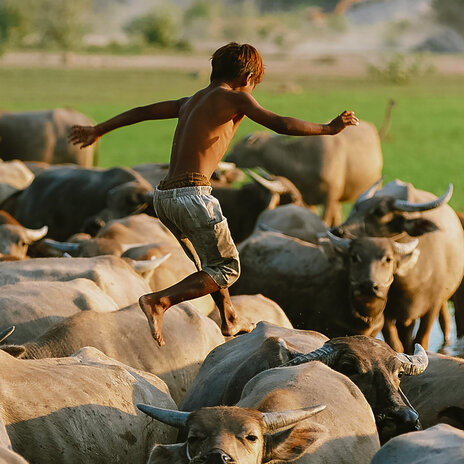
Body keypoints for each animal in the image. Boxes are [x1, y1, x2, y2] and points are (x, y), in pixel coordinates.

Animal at [224, 121, 380, 227]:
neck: (303, 159)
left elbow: (324, 221)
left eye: (247, 143)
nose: (228, 157)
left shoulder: (330, 196)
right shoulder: (306, 196)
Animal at [330, 180, 464, 352]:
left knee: (445, 323)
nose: (338, 231)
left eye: (379, 212)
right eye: (357, 208)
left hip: (443, 302)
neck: (411, 279)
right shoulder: (386, 311)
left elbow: (421, 340)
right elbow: (396, 344)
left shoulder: (432, 306)